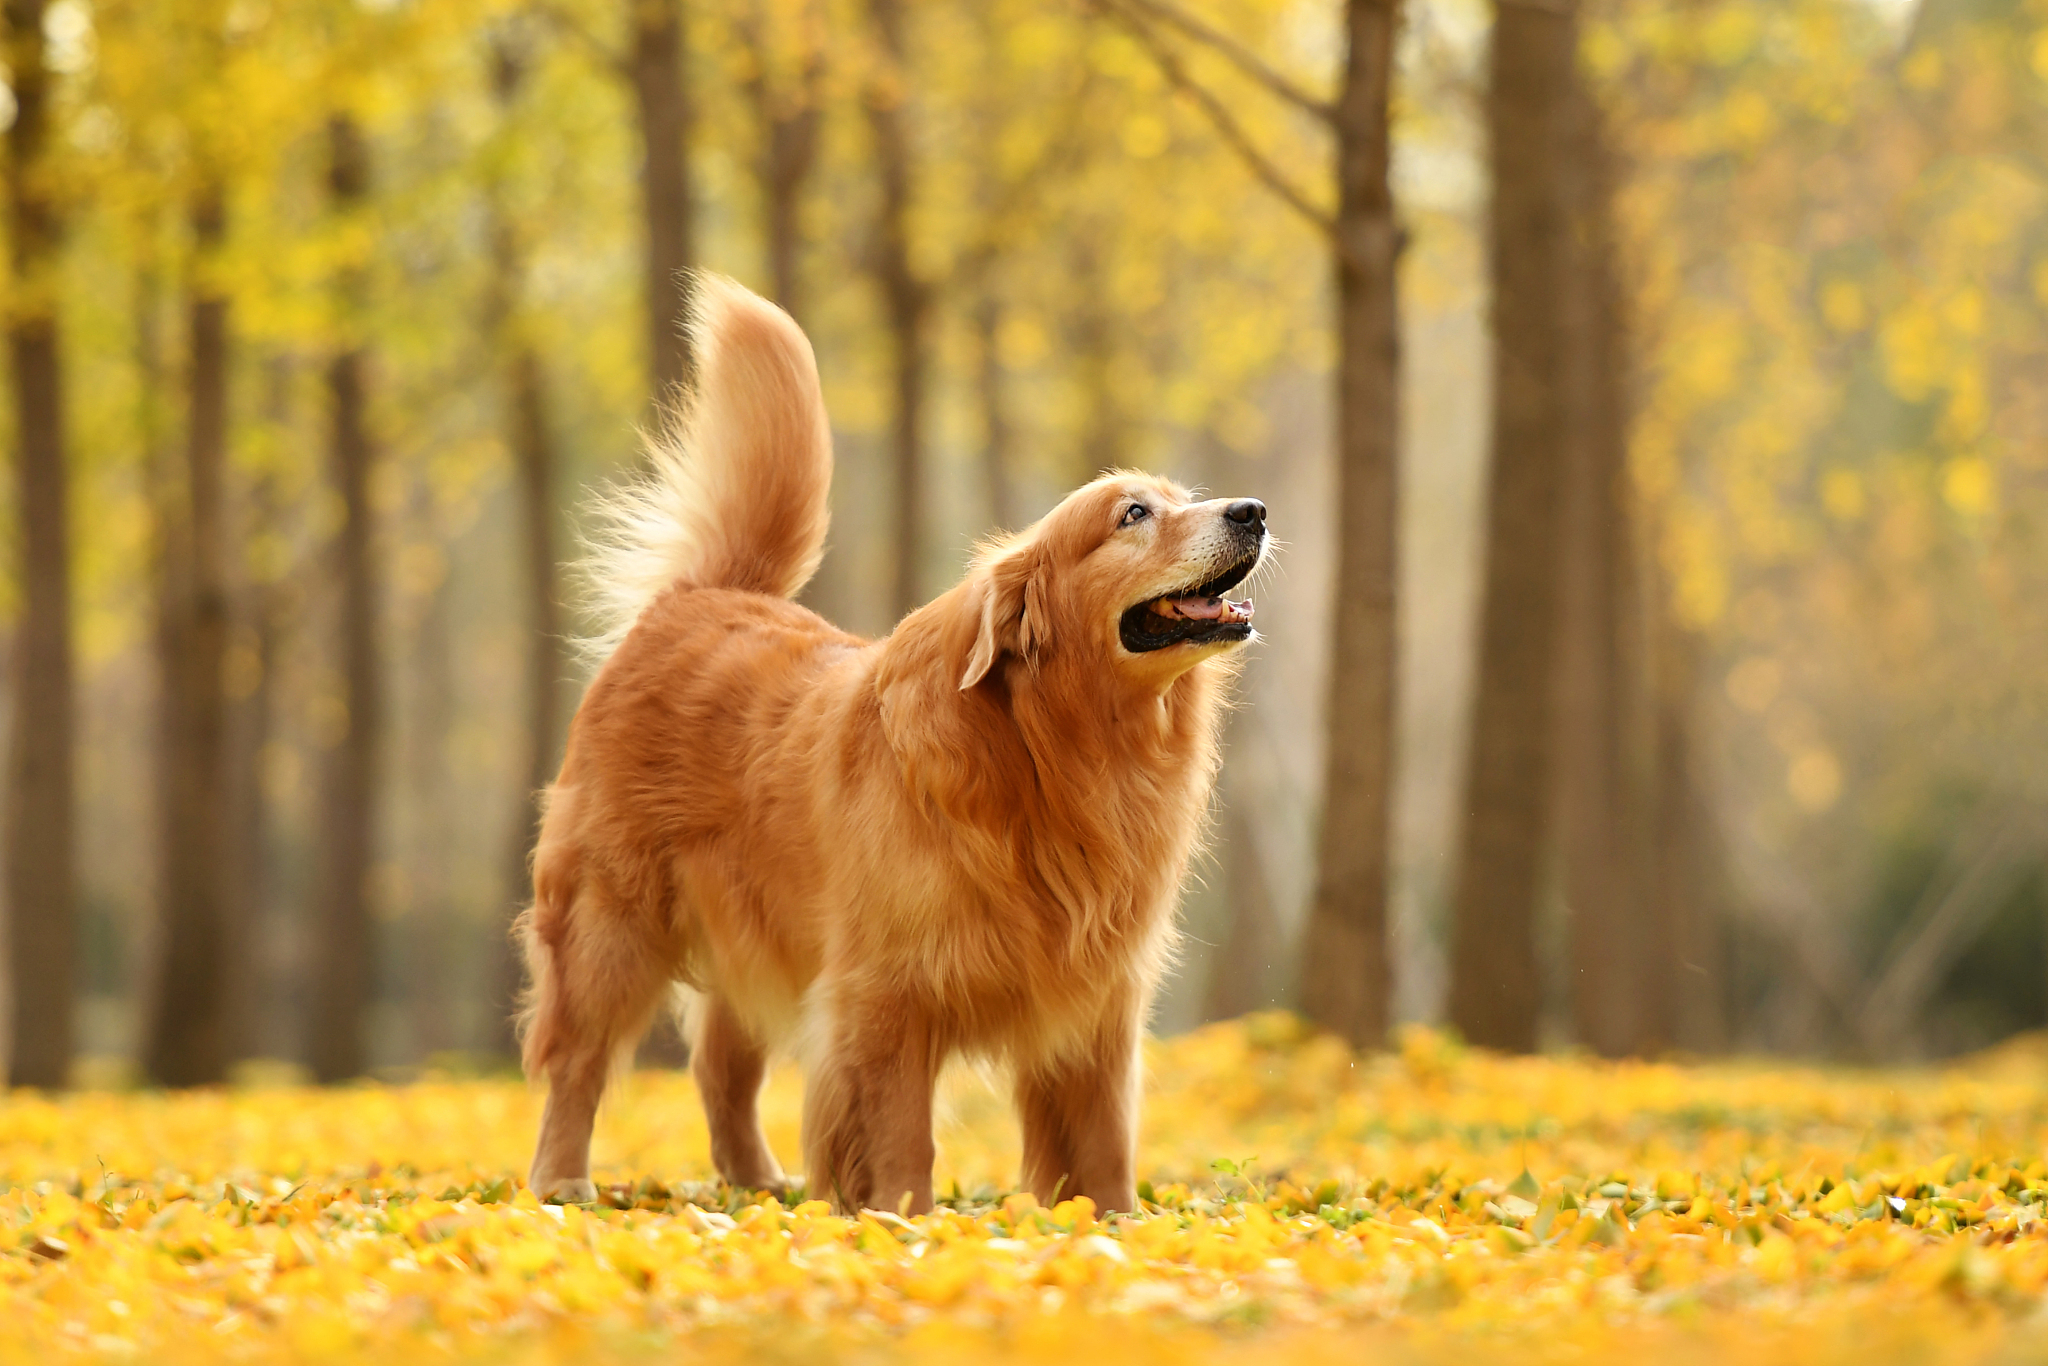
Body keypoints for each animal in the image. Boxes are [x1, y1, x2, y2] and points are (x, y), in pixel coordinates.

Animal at [524, 272, 1261, 1212]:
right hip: (609, 923)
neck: (1050, 752)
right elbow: (901, 1129)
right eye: (1134, 514)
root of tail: (702, 594)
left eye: (1180, 496)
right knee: (577, 1061)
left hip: (755, 930)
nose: (1253, 510)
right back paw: (561, 1181)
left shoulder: (1098, 999)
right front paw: (902, 1219)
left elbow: (1104, 1138)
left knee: (721, 1063)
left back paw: (757, 1181)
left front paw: (1116, 1222)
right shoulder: (889, 989)